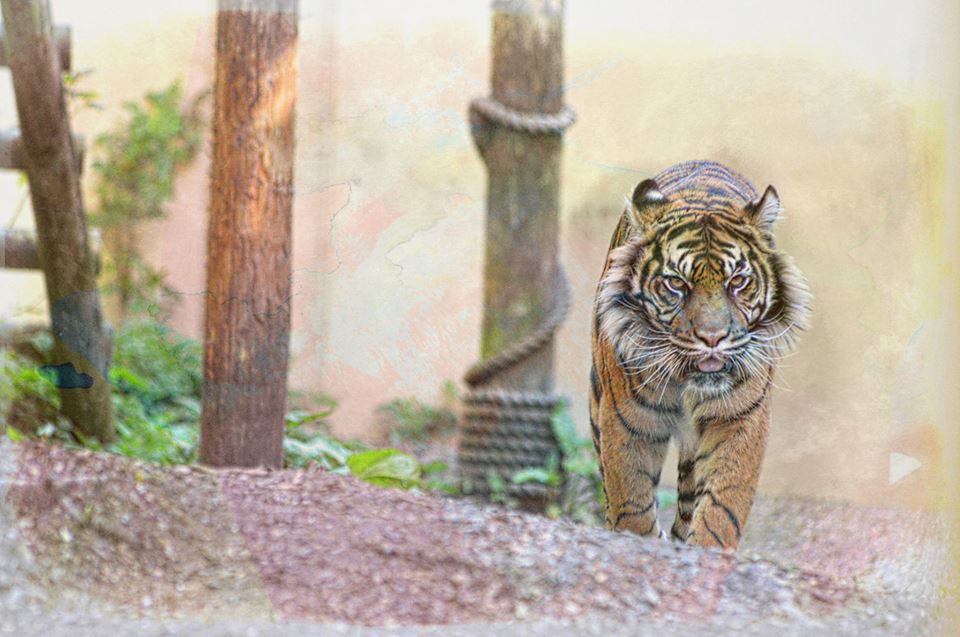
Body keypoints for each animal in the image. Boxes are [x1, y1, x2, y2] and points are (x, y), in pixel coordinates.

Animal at [589, 160, 810, 550]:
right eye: (676, 283)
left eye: (737, 281)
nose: (713, 338)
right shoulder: (629, 418)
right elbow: (631, 500)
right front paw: (638, 540)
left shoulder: (740, 417)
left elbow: (722, 505)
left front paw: (706, 548)